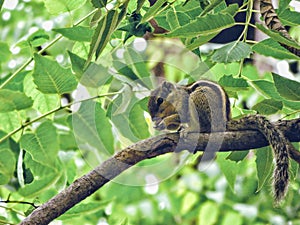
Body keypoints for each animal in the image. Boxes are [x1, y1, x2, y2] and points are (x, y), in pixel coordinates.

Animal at [148, 80, 296, 204]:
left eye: (160, 100)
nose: (153, 119)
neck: (177, 97)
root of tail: (223, 123)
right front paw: (160, 125)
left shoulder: (183, 106)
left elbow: (178, 117)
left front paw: (162, 123)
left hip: (199, 100)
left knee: (203, 126)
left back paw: (188, 130)